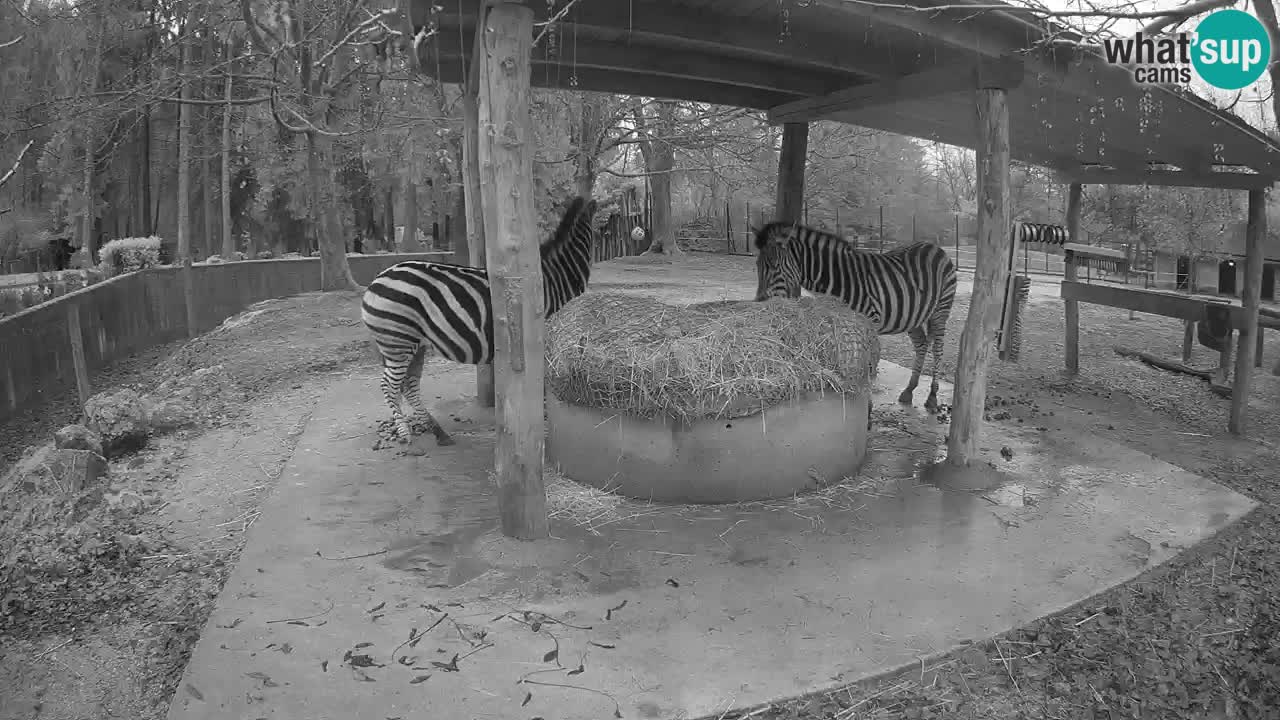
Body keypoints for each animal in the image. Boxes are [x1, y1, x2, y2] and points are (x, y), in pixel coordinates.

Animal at [360, 196, 599, 443]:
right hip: (398, 341)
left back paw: (437, 431)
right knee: (390, 385)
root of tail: (376, 280)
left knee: (408, 384)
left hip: (414, 344)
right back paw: (405, 433)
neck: (558, 278)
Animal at [747, 224, 962, 412]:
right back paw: (909, 390)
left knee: (937, 349)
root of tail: (933, 246)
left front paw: (867, 410)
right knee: (922, 345)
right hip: (913, 316)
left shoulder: (870, 322)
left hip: (941, 310)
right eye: (757, 264)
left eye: (774, 265)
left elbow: (867, 366)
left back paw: (932, 397)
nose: (760, 301)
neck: (840, 280)